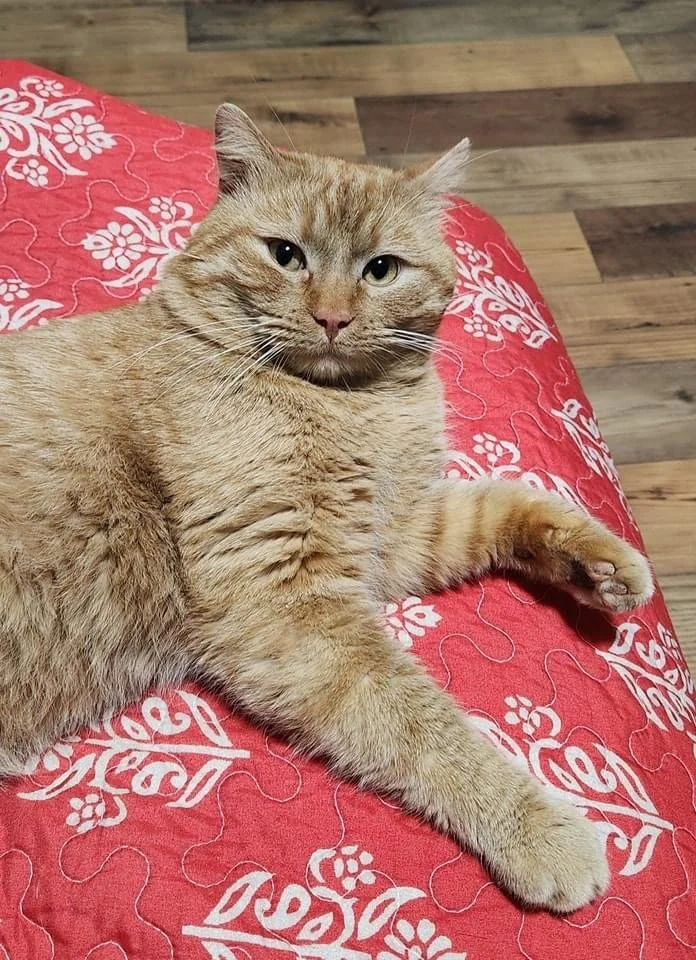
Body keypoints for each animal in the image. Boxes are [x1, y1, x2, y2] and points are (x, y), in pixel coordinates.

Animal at [0, 103, 653, 913]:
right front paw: (536, 828)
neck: (359, 405)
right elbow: (423, 725)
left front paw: (599, 562)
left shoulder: (398, 533)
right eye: (286, 255)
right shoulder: (288, 599)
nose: (333, 317)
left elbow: (504, 501)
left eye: (381, 269)